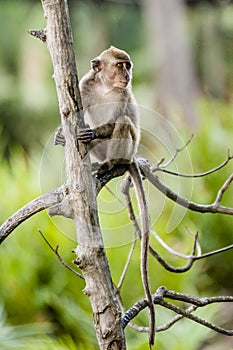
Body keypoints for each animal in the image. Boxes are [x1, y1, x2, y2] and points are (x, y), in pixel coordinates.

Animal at [55, 46, 155, 348]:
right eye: (120, 65)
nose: (128, 74)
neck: (106, 86)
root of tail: (130, 158)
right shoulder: (85, 85)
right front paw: (61, 134)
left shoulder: (123, 94)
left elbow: (117, 120)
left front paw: (90, 131)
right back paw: (95, 163)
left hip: (128, 148)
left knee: (123, 123)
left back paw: (111, 164)